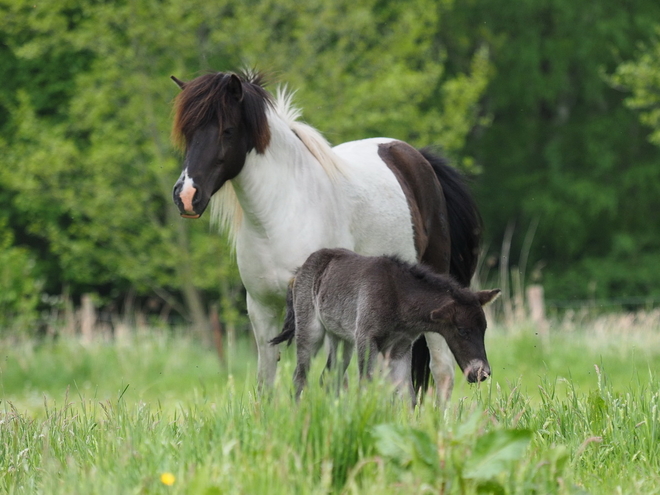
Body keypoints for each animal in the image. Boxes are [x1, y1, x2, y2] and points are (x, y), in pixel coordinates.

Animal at [268, 250, 500, 404]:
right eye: (462, 330)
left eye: (484, 329)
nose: (482, 373)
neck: (399, 297)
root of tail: (298, 271)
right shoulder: (366, 339)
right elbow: (365, 384)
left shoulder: (400, 348)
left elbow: (407, 395)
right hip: (311, 331)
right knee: (300, 376)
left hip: (342, 340)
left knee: (329, 376)